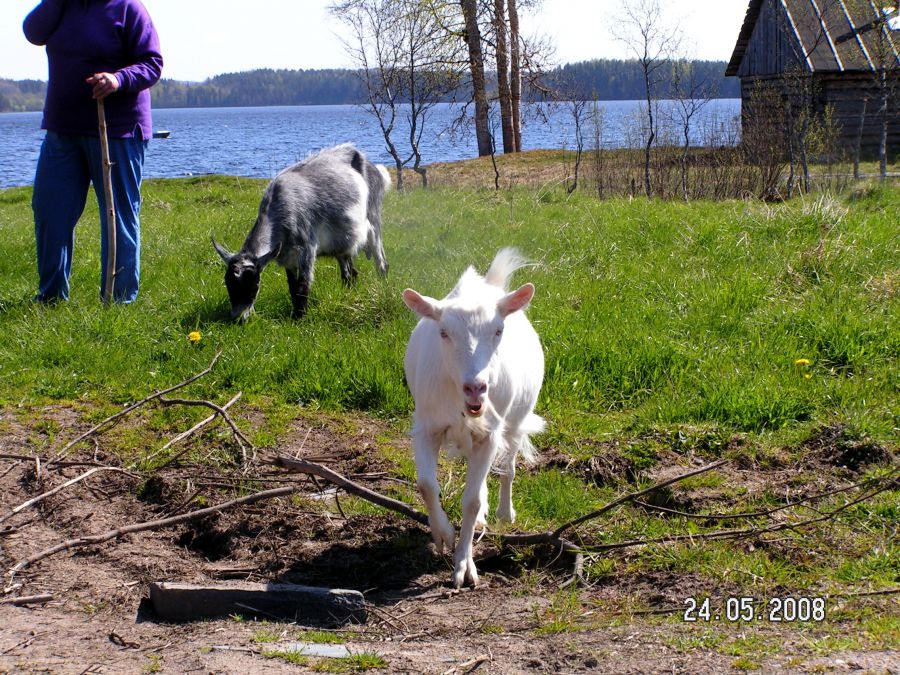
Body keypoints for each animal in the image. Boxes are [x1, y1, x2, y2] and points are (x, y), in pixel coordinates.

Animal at [214, 142, 394, 320]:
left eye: (253, 285)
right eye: (228, 285)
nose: (238, 318)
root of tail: (374, 167)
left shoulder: (306, 250)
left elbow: (302, 286)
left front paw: (300, 318)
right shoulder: (288, 257)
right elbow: (292, 287)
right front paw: (296, 313)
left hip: (373, 221)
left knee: (381, 263)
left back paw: (384, 288)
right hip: (343, 244)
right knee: (350, 273)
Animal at [404, 247, 544, 588]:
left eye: (498, 331)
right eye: (443, 332)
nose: (476, 387)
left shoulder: (490, 432)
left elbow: (471, 501)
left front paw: (464, 567)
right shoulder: (425, 427)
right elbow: (426, 485)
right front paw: (443, 535)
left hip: (516, 420)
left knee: (508, 467)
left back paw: (505, 513)